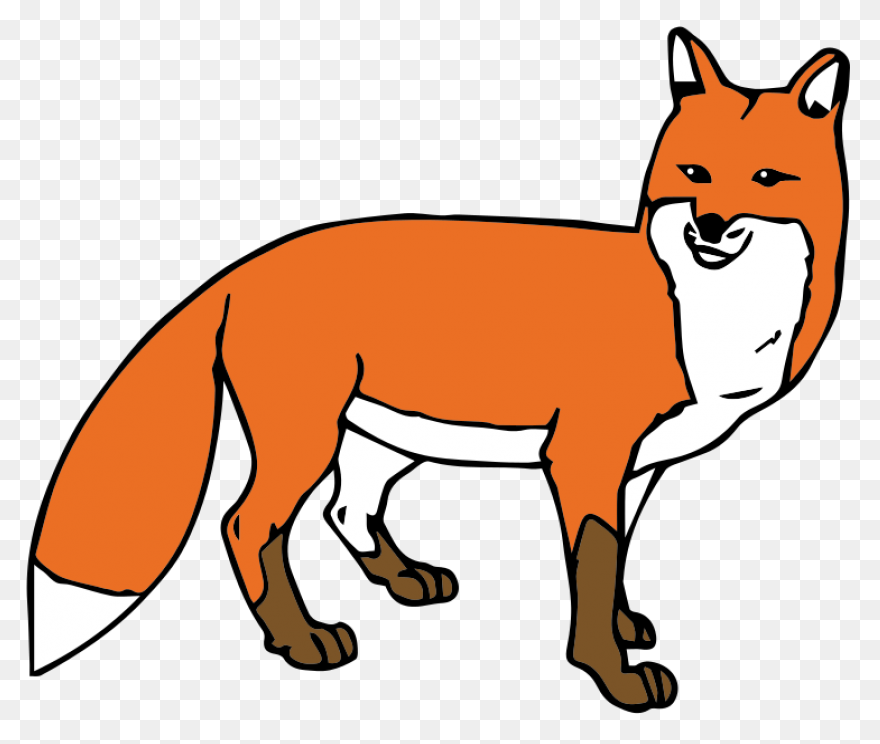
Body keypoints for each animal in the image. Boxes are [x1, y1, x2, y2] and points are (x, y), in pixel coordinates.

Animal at [27, 28, 848, 713]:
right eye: (695, 172)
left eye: (768, 178)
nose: (709, 225)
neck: (704, 317)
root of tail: (246, 265)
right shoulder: (585, 455)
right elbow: (591, 566)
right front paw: (609, 674)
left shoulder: (639, 466)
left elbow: (614, 562)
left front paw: (624, 626)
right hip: (306, 438)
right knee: (248, 524)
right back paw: (301, 641)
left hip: (383, 440)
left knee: (345, 509)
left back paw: (403, 580)